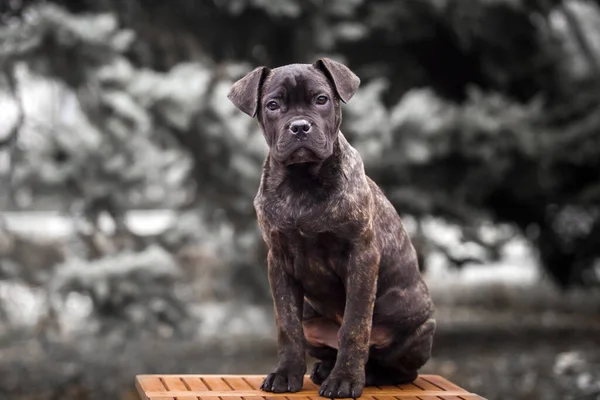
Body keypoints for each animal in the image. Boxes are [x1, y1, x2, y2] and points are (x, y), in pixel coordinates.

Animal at [227, 59, 434, 400]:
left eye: (321, 100)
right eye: (273, 105)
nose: (299, 126)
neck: (302, 181)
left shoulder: (361, 256)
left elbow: (355, 325)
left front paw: (346, 380)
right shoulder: (278, 261)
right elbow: (287, 325)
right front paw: (286, 374)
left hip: (418, 328)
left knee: (400, 368)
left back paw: (366, 374)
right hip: (312, 322)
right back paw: (324, 369)